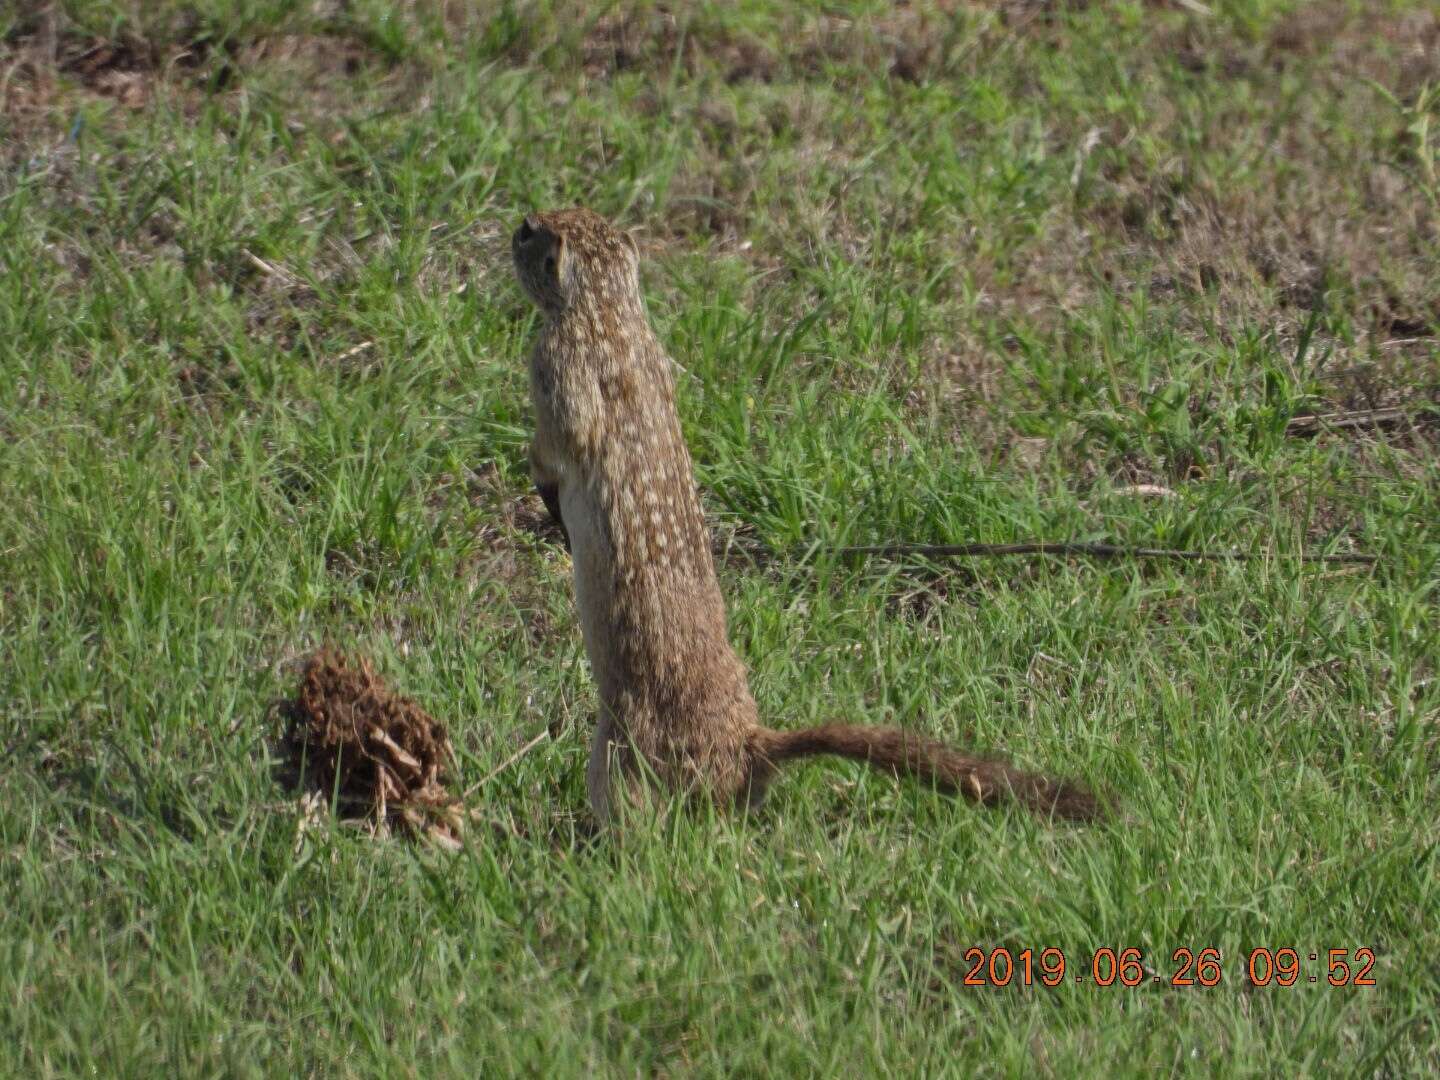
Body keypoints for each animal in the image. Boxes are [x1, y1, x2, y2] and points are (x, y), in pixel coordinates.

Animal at [512, 207, 1094, 823]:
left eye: (530, 230)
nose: (515, 227)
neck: (608, 307)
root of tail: (749, 744)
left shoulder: (552, 366)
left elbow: (558, 438)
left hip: (616, 749)